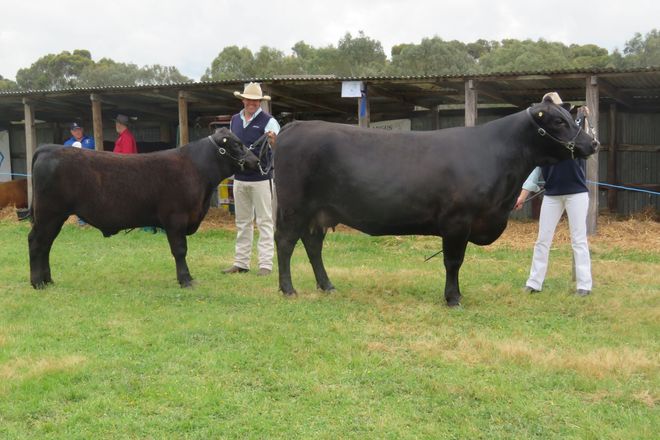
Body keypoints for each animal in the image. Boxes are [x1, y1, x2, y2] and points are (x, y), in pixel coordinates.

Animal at [28, 128, 258, 289]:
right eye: (236, 144)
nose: (255, 161)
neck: (196, 169)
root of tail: (48, 147)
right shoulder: (175, 218)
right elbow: (180, 250)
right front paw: (185, 280)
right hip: (49, 214)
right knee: (37, 242)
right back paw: (37, 282)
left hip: (55, 217)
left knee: (46, 245)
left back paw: (47, 280)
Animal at [273, 96, 599, 306]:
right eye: (558, 121)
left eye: (573, 119)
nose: (593, 143)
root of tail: (295, 126)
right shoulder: (457, 220)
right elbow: (453, 261)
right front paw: (453, 298)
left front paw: (456, 295)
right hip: (293, 207)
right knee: (286, 242)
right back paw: (288, 289)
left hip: (318, 212)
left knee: (313, 245)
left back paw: (327, 286)